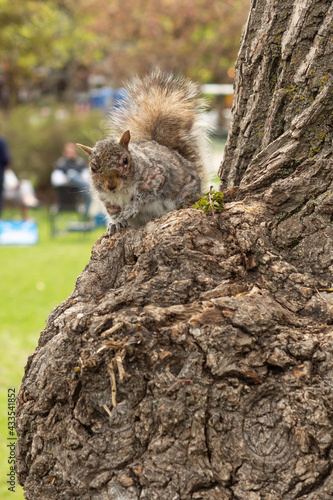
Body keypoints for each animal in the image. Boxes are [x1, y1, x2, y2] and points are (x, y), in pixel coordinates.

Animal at [78, 70, 208, 236]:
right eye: (93, 168)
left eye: (125, 161)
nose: (111, 186)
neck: (121, 191)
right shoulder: (108, 201)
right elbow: (114, 213)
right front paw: (116, 222)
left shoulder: (158, 177)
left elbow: (144, 196)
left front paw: (131, 208)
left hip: (187, 192)